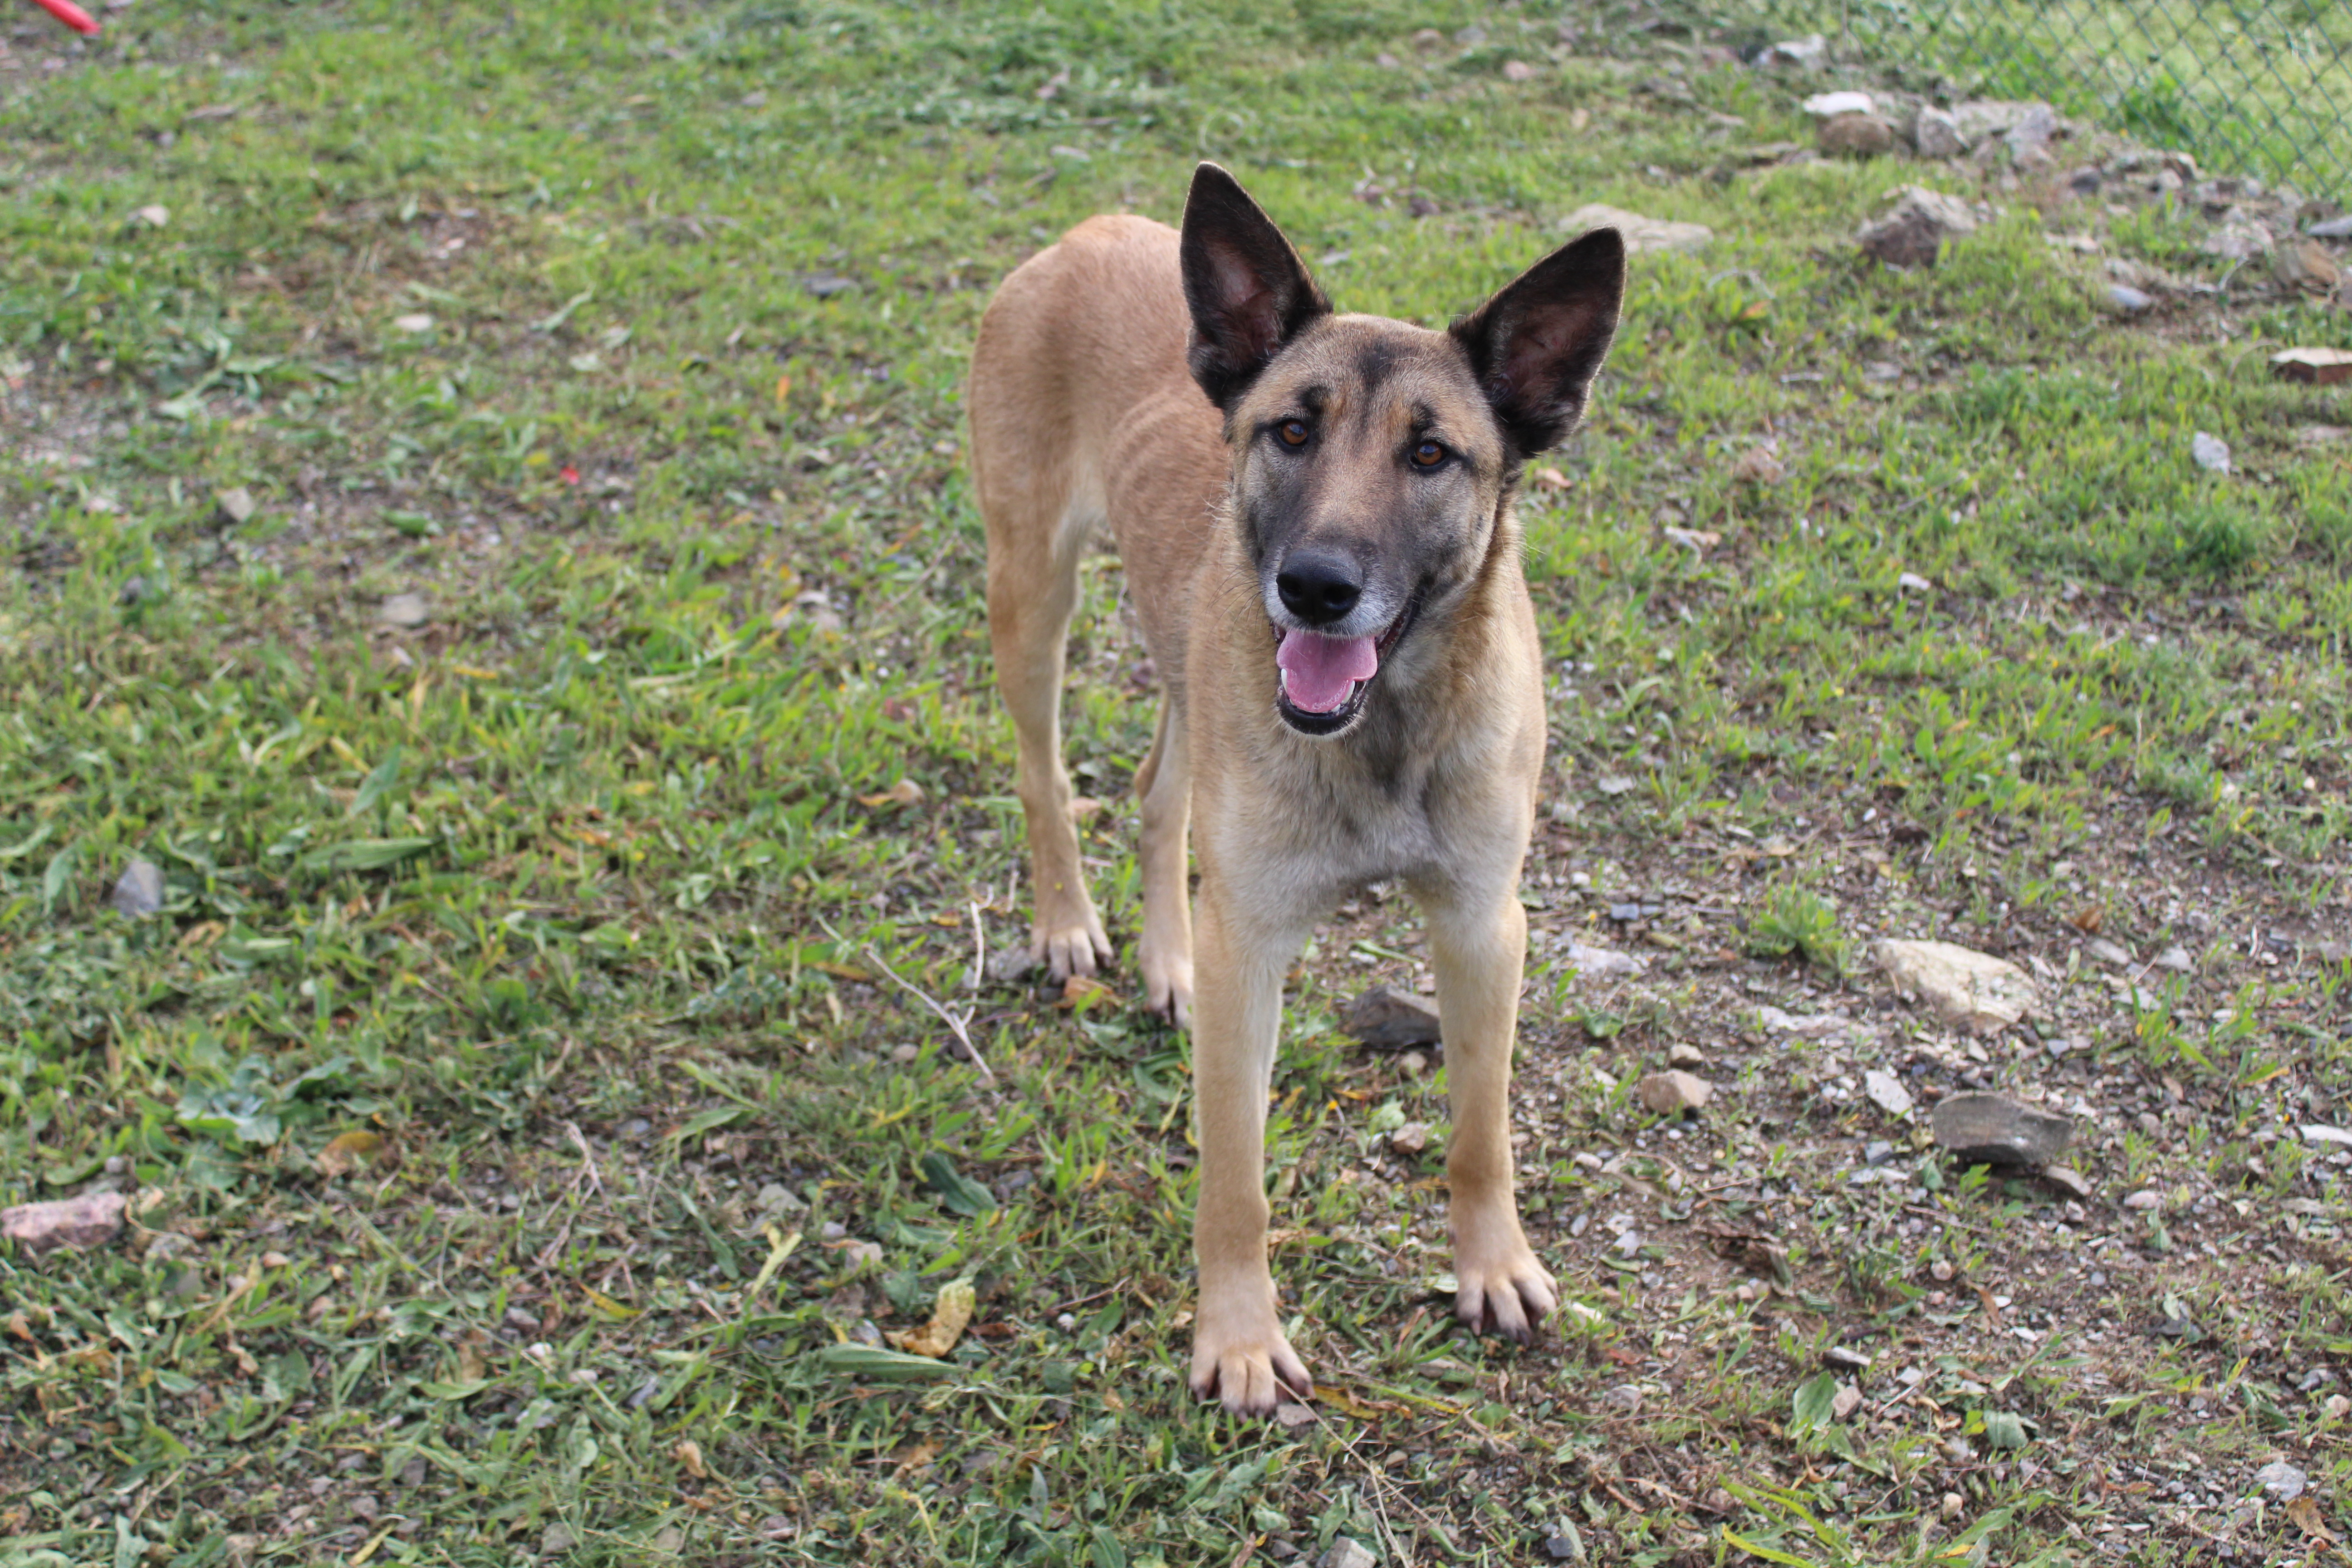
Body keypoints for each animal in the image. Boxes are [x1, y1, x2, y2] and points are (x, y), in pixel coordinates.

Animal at [969, 166, 1618, 1420]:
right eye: (1291, 431)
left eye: (1432, 456)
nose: (1316, 588)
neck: (1387, 732)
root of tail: (1088, 234)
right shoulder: (1256, 948)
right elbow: (1237, 1178)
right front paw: (1239, 1337)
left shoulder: (1482, 926)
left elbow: (1481, 1130)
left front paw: (1492, 1265)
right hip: (1033, 595)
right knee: (1043, 776)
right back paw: (1068, 923)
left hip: (1188, 677)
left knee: (1157, 794)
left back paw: (1168, 958)